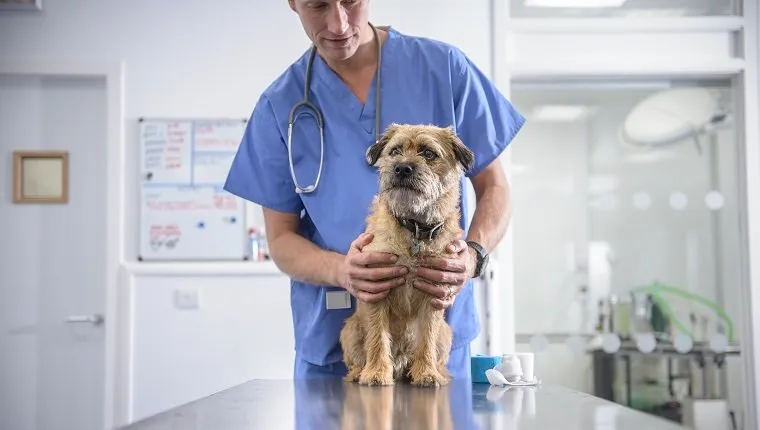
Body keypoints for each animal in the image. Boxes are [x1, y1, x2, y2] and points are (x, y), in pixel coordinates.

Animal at [340, 122, 476, 388]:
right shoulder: (377, 289)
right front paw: (376, 372)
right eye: (395, 151)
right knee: (356, 359)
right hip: (350, 330)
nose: (402, 168)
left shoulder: (434, 293)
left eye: (428, 153)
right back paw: (360, 372)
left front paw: (426, 372)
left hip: (446, 333)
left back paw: (436, 371)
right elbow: (378, 337)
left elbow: (427, 339)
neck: (414, 228)